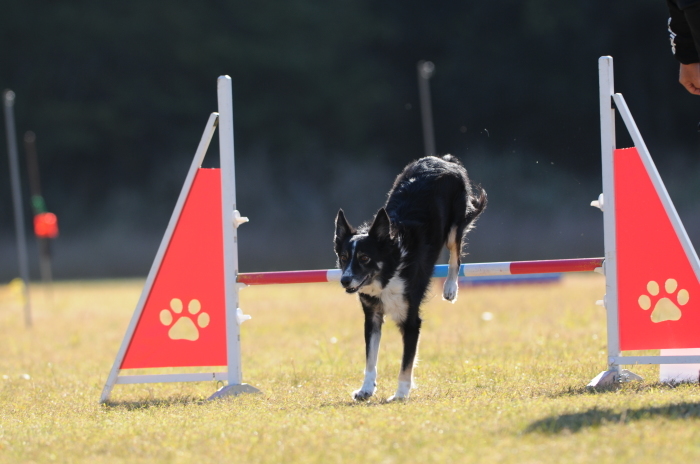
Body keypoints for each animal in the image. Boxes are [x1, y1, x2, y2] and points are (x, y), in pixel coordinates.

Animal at [334, 156, 486, 402]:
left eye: (365, 258)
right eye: (344, 257)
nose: (345, 281)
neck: (389, 271)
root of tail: (442, 159)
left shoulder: (412, 321)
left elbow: (406, 362)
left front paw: (401, 393)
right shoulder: (372, 317)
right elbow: (370, 359)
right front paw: (366, 389)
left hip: (454, 227)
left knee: (456, 255)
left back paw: (450, 287)